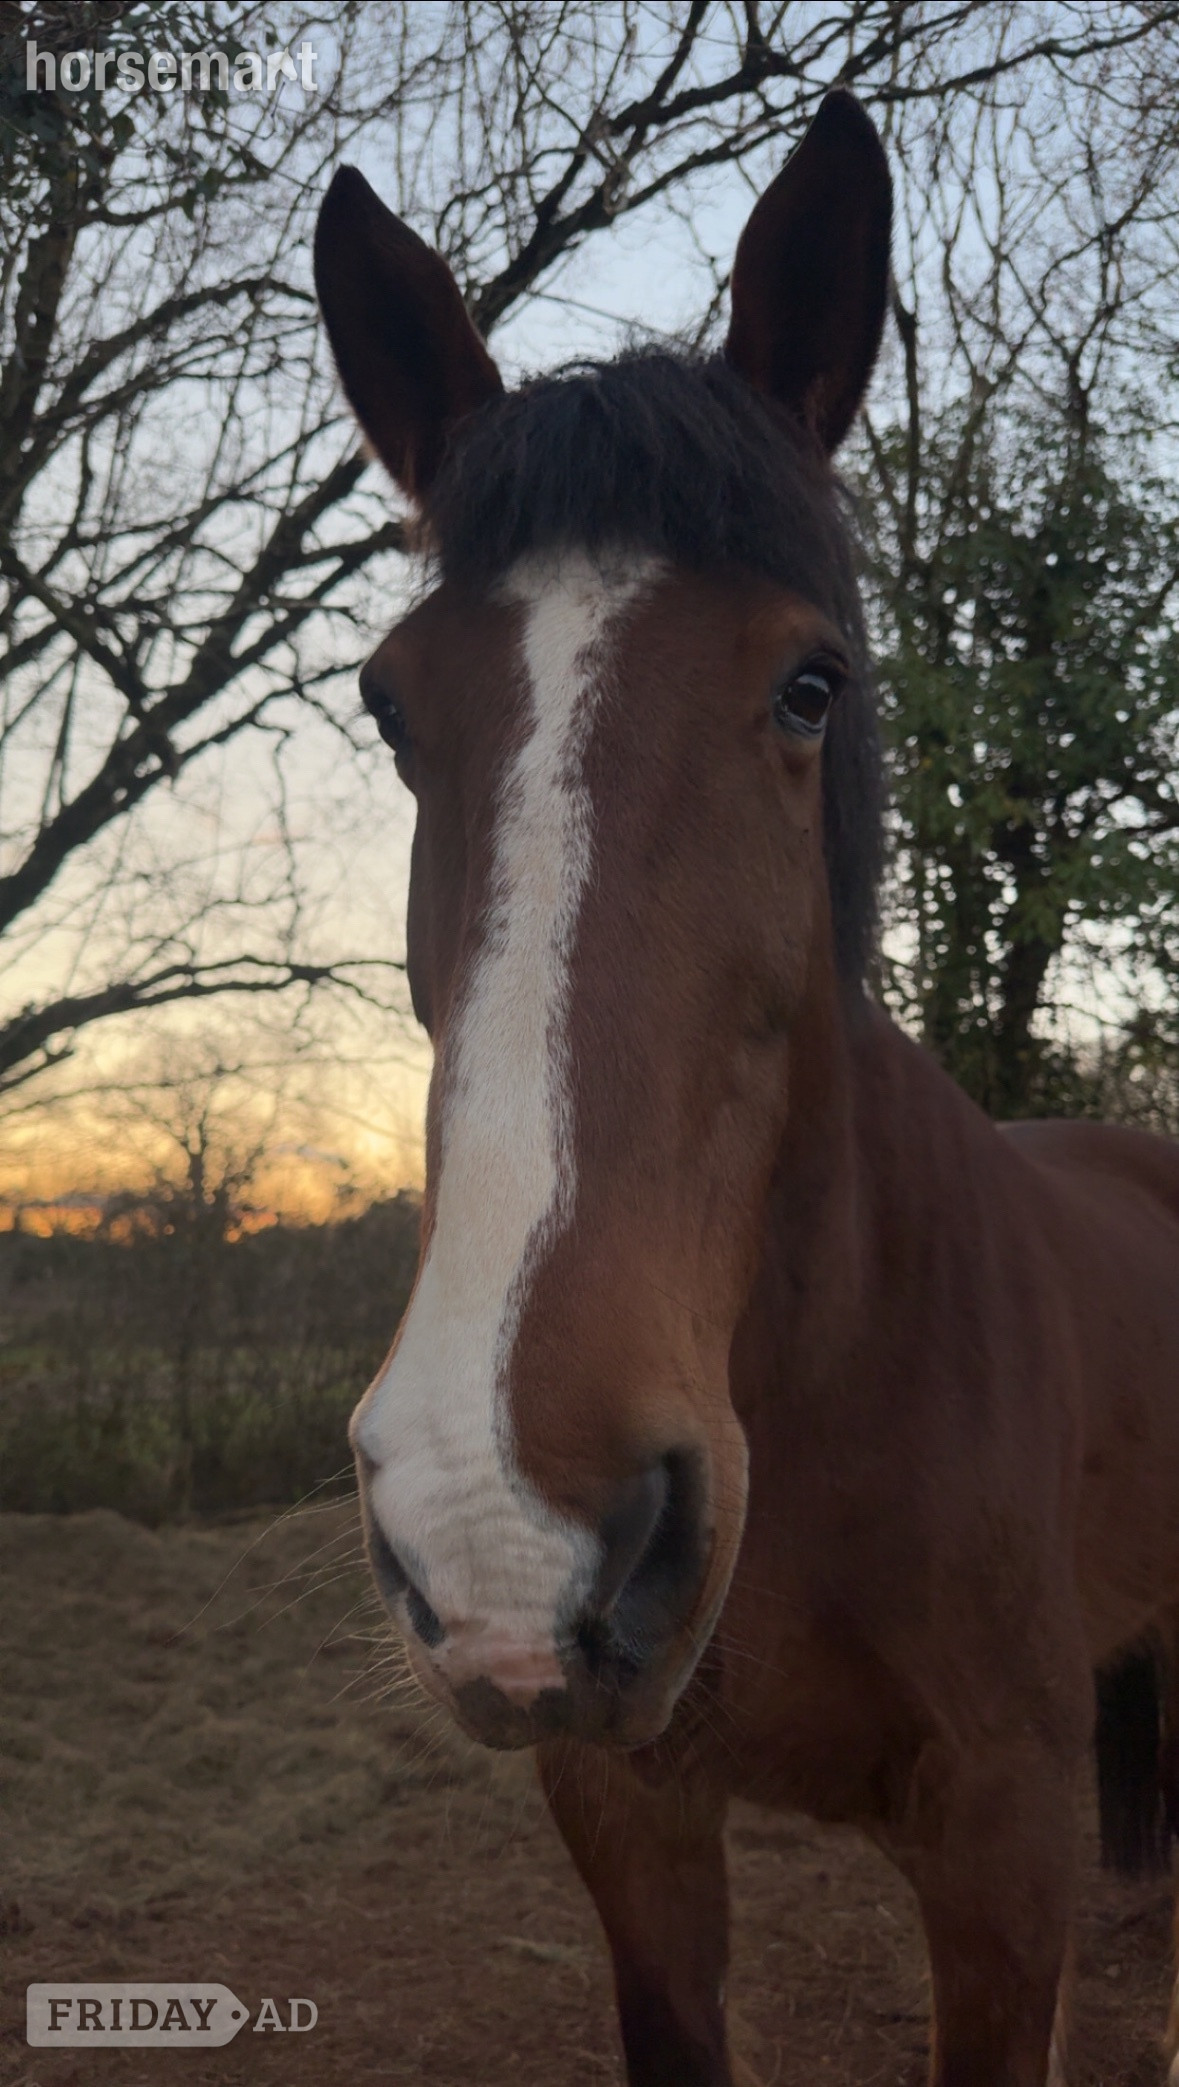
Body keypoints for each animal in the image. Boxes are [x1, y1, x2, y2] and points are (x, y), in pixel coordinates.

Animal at [314, 91, 1179, 2087]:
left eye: (810, 682)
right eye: (391, 708)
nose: (504, 1511)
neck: (829, 1359)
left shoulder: (1001, 1844)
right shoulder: (628, 1820)